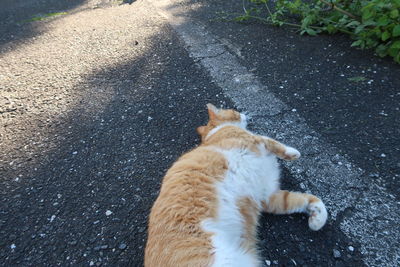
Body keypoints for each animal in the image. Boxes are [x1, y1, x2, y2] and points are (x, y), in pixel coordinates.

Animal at [145, 104, 326, 267]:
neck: (216, 132)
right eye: (234, 111)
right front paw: (294, 153)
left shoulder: (268, 196)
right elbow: (275, 144)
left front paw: (317, 219)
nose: (244, 113)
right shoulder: (256, 140)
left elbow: (305, 201)